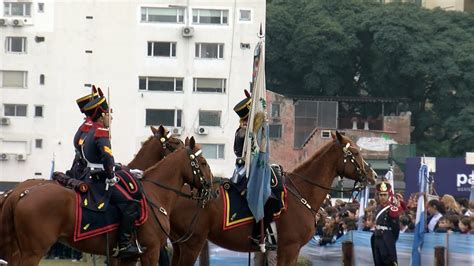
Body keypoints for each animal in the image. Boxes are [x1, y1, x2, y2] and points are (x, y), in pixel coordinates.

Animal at [168, 132, 376, 264]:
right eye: (355, 152)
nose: (373, 175)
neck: (301, 192)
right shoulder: (289, 248)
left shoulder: (284, 250)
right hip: (192, 244)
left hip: (180, 245)